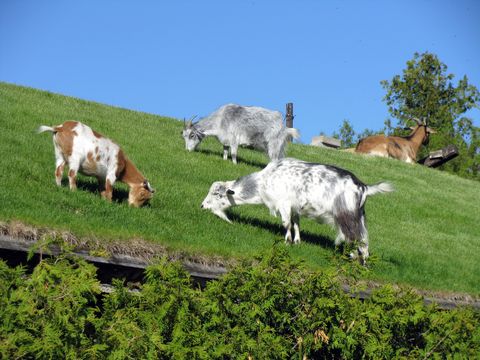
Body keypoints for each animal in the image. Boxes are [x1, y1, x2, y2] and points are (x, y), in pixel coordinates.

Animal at [201, 158, 392, 264]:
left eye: (217, 194)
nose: (202, 206)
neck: (263, 182)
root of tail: (364, 187)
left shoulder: (284, 203)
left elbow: (286, 223)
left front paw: (287, 243)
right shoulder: (295, 207)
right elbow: (296, 223)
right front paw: (298, 241)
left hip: (347, 216)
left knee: (355, 238)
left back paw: (356, 260)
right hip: (359, 216)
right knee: (364, 239)